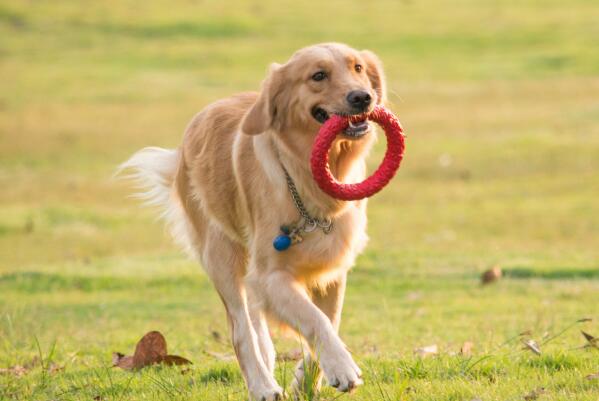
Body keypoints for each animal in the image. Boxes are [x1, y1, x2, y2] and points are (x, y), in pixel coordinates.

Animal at [120, 42, 386, 398]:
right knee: (241, 330)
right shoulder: (270, 275)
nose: (363, 97)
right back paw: (262, 385)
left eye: (357, 68)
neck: (306, 180)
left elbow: (329, 320)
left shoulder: (331, 270)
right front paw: (342, 368)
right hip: (221, 256)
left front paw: (307, 381)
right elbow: (314, 320)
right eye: (318, 75)